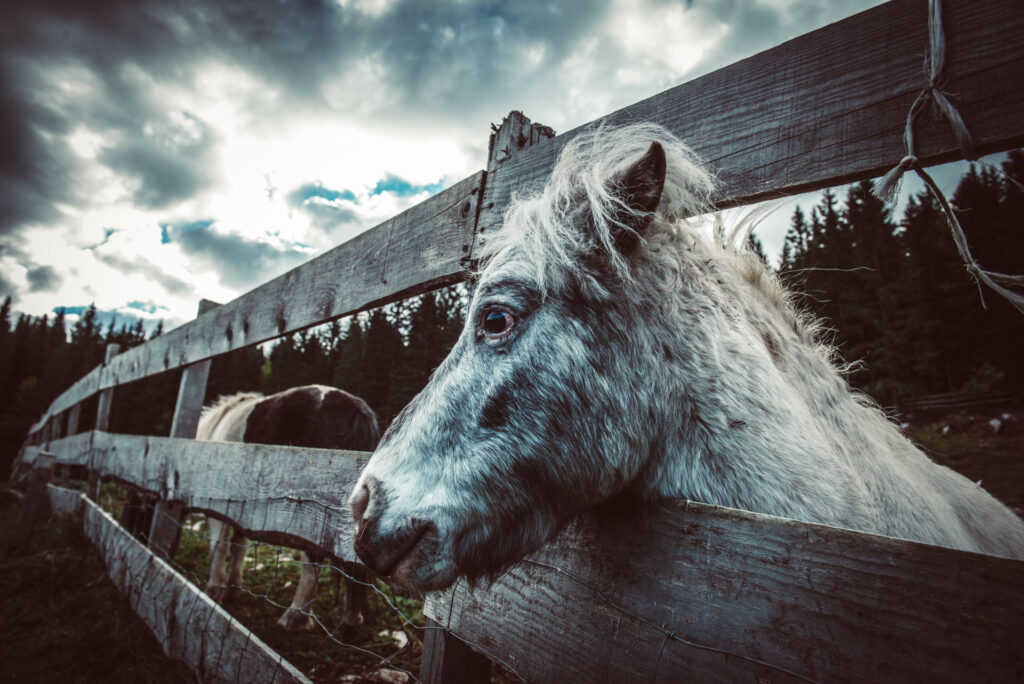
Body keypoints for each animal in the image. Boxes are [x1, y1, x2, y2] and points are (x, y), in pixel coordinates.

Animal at [197, 385, 378, 630]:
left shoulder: (221, 504)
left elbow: (219, 545)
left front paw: (215, 588)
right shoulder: (243, 509)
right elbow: (239, 545)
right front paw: (233, 587)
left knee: (312, 563)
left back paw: (294, 617)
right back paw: (351, 618)